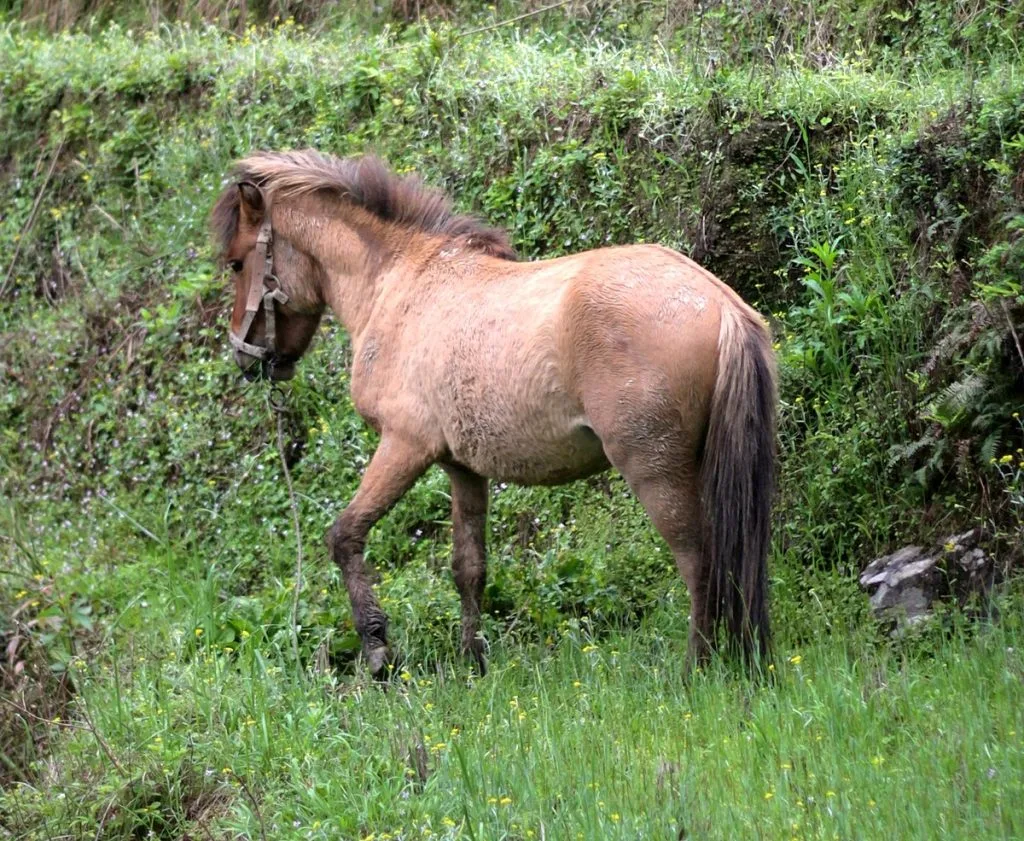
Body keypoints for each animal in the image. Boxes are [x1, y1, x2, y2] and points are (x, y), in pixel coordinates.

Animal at [211, 149, 777, 677]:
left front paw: (378, 650)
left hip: (656, 472)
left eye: (238, 263)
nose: (244, 356)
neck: (399, 284)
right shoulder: (462, 469)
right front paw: (473, 662)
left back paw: (695, 670)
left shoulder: (404, 447)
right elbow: (468, 568)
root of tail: (720, 304)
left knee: (698, 562)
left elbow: (345, 536)